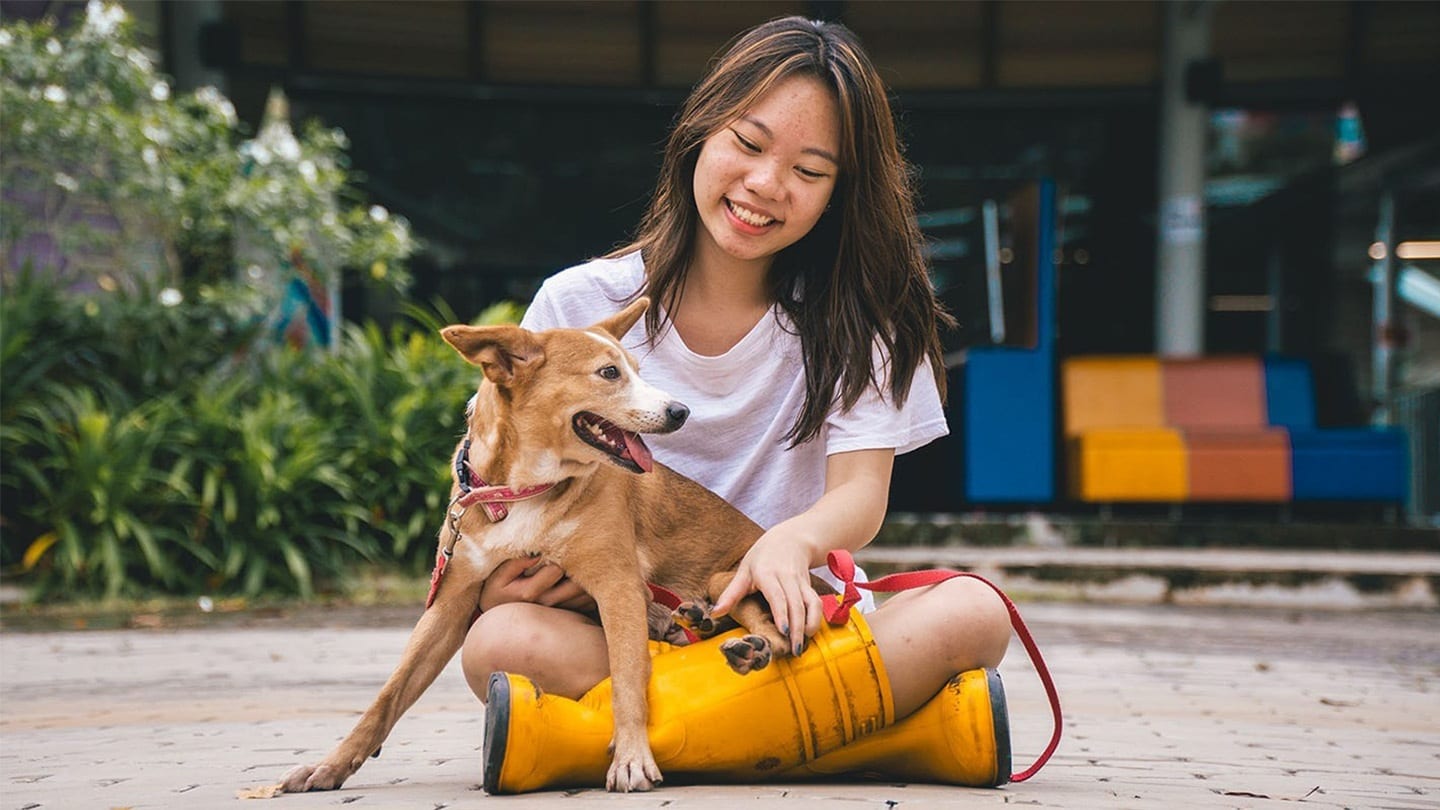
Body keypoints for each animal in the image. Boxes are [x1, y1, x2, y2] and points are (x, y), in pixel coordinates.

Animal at [277, 296, 800, 789]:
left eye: (636, 369)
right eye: (609, 373)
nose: (681, 411)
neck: (522, 491)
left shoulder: (618, 588)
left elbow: (628, 679)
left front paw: (632, 757)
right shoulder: (449, 602)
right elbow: (388, 694)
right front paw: (331, 765)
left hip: (726, 576)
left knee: (783, 635)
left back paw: (743, 644)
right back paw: (700, 624)